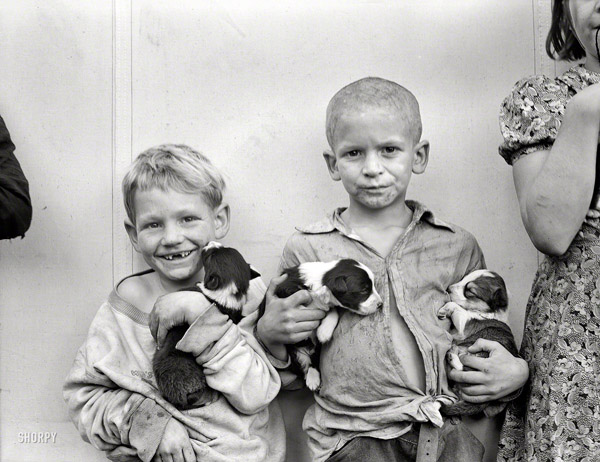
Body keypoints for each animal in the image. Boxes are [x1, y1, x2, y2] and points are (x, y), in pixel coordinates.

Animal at [258, 258, 382, 392]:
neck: (322, 279)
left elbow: (333, 311)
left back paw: (313, 378)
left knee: (314, 357)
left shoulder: (328, 305)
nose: (381, 304)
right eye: (364, 290)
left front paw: (324, 332)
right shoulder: (284, 288)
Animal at [436, 268, 520, 416]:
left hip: (477, 354)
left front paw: (445, 308)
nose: (448, 289)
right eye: (463, 278)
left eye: (470, 291)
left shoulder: (464, 325)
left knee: (461, 368)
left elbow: (457, 307)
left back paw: (452, 357)